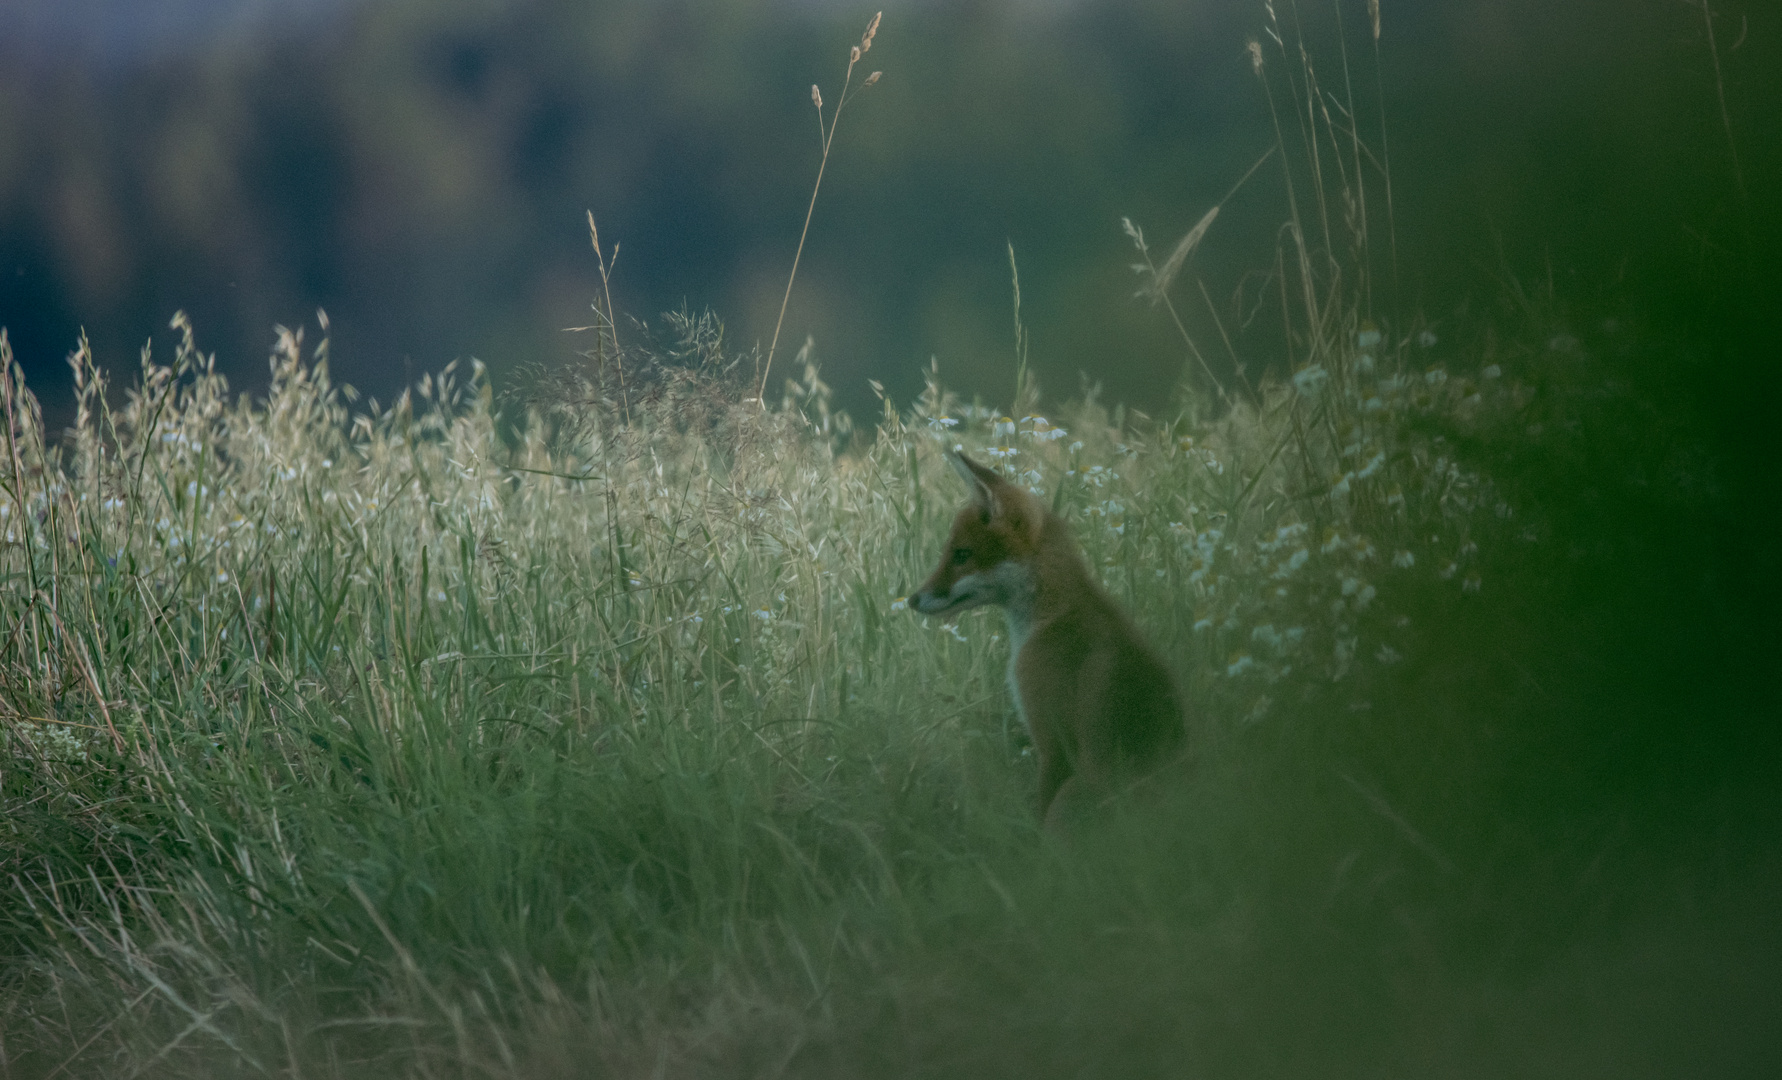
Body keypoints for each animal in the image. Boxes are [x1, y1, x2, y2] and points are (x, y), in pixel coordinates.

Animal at [912, 449, 1190, 830]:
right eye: (951, 552)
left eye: (961, 555)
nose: (912, 599)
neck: (1049, 618)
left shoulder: (1051, 743)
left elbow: (1039, 824)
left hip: (1072, 794)